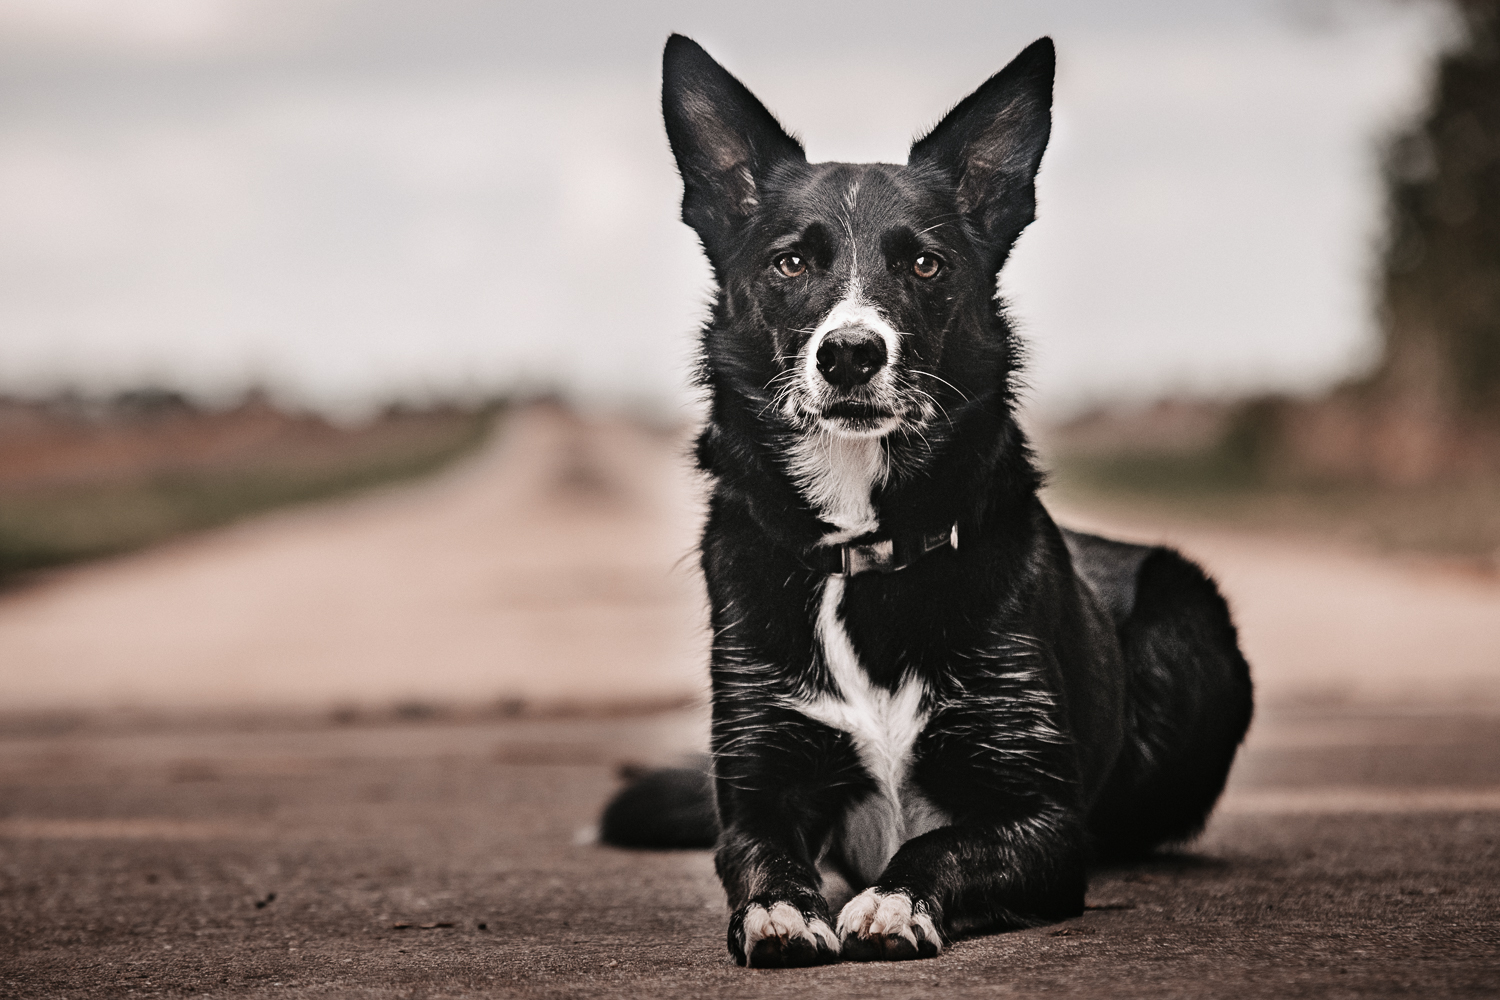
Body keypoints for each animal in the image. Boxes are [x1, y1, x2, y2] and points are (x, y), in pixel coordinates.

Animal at [597, 37, 1254, 971]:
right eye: (791, 262)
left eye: (924, 262)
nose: (850, 353)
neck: (863, 544)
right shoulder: (758, 783)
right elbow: (757, 855)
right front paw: (780, 911)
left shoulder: (1042, 816)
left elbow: (942, 841)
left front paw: (893, 898)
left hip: (1191, 619)